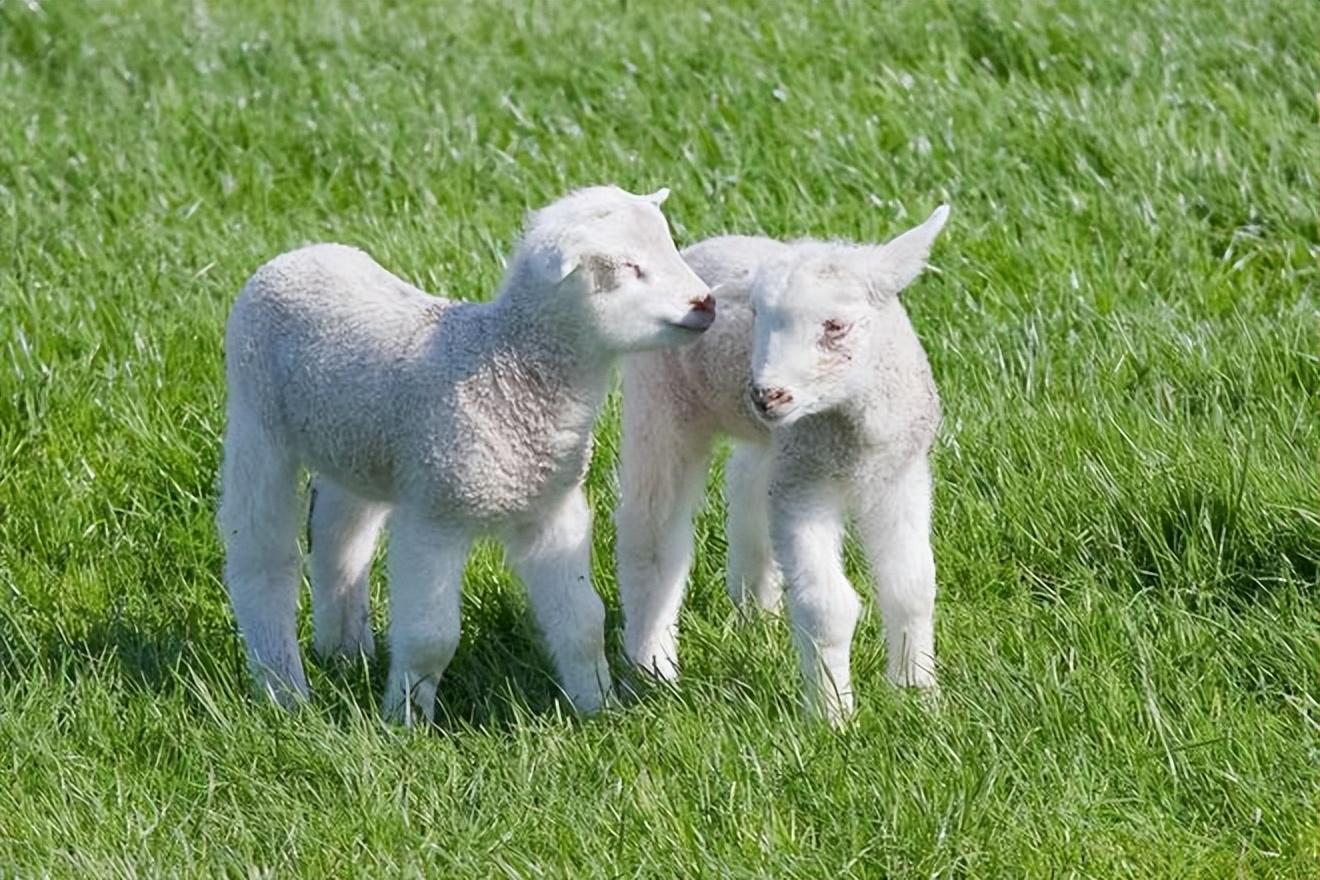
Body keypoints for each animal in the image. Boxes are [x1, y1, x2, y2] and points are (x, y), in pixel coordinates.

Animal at [217, 186, 718, 722]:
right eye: (627, 266)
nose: (707, 303)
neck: (507, 367)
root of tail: (298, 254)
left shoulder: (550, 509)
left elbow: (583, 620)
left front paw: (597, 709)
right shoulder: (435, 515)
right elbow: (429, 639)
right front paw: (405, 721)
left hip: (356, 445)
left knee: (339, 539)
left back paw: (344, 652)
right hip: (256, 418)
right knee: (261, 554)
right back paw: (284, 690)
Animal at [615, 204, 950, 722]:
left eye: (835, 326)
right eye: (757, 317)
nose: (766, 395)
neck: (854, 434)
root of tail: (700, 248)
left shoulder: (900, 474)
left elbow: (912, 586)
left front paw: (918, 695)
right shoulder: (804, 486)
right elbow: (828, 606)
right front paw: (833, 717)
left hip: (771, 446)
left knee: (747, 488)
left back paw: (756, 613)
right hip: (659, 400)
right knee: (650, 536)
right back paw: (653, 668)